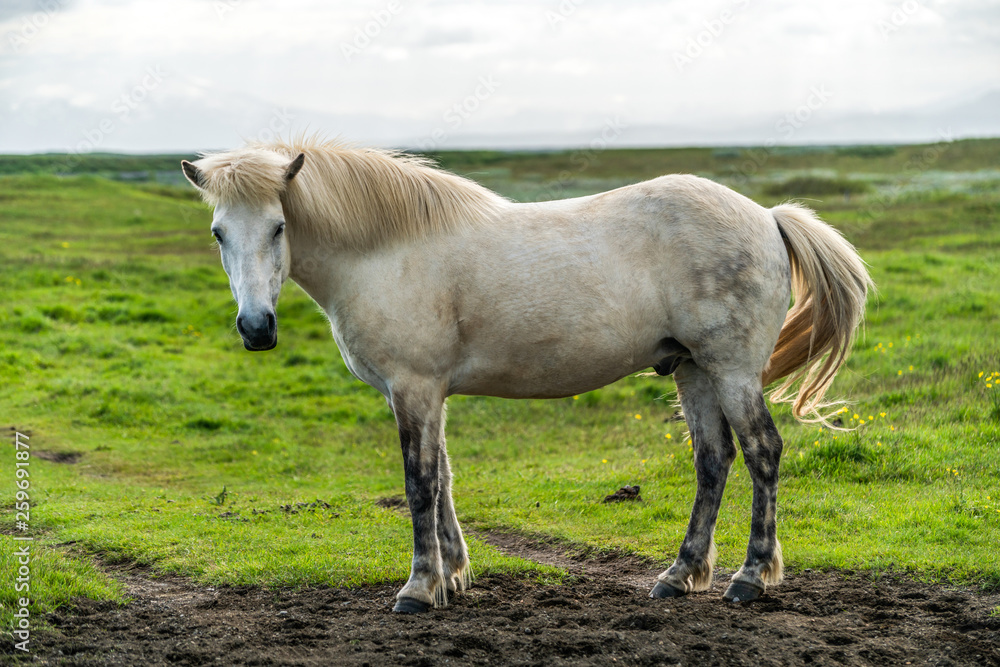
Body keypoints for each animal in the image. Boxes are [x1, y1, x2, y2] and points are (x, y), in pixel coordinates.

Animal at [184, 137, 872, 616]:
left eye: (278, 227)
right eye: (218, 233)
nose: (256, 329)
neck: (386, 252)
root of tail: (766, 215)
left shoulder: (413, 389)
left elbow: (419, 483)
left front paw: (419, 587)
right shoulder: (428, 394)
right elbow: (444, 478)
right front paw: (454, 576)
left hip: (730, 371)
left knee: (762, 452)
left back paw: (750, 578)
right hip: (694, 371)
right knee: (713, 460)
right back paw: (679, 575)